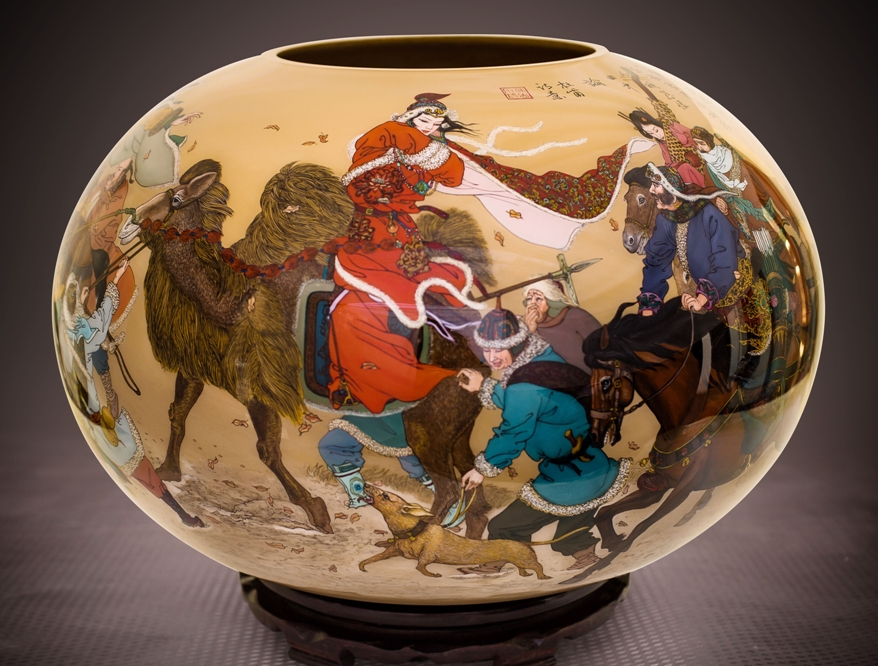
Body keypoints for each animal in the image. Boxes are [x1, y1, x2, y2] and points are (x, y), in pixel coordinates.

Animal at [118, 159, 494, 537]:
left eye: (175, 199)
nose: (126, 224)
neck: (230, 299)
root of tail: (481, 364)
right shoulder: (200, 364)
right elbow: (179, 411)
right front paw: (168, 470)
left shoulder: (261, 386)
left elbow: (267, 450)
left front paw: (316, 511)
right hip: (457, 432)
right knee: (475, 492)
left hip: (427, 426)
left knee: (448, 488)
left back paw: (416, 534)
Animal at [359, 483, 550, 579]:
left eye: (385, 496)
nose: (365, 484)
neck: (412, 533)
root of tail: (525, 543)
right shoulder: (393, 550)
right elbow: (373, 558)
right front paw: (362, 566)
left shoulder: (428, 554)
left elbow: (420, 566)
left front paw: (433, 574)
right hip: (520, 561)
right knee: (524, 568)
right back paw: (524, 575)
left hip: (526, 559)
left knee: (539, 566)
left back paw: (543, 577)